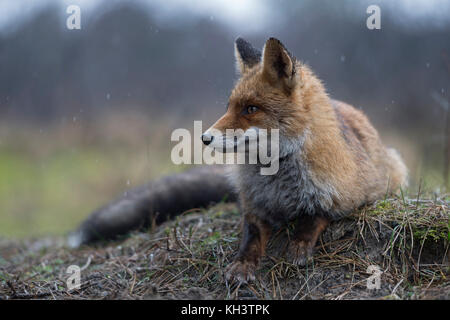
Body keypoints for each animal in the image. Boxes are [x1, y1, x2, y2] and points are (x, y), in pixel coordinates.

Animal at [69, 38, 408, 284]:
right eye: (230, 106)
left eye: (251, 109)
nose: (204, 138)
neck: (278, 181)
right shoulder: (252, 206)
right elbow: (251, 237)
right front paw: (242, 265)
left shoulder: (349, 197)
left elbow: (316, 216)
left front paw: (299, 245)